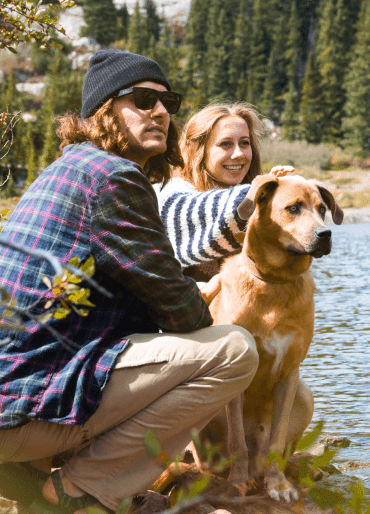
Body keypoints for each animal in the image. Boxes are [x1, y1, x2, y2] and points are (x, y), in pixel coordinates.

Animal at [197, 174, 344, 502]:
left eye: (322, 209)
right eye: (293, 208)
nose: (326, 234)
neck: (275, 284)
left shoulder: (289, 374)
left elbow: (277, 441)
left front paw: (279, 485)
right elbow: (237, 441)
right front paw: (237, 482)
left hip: (304, 394)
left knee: (279, 452)